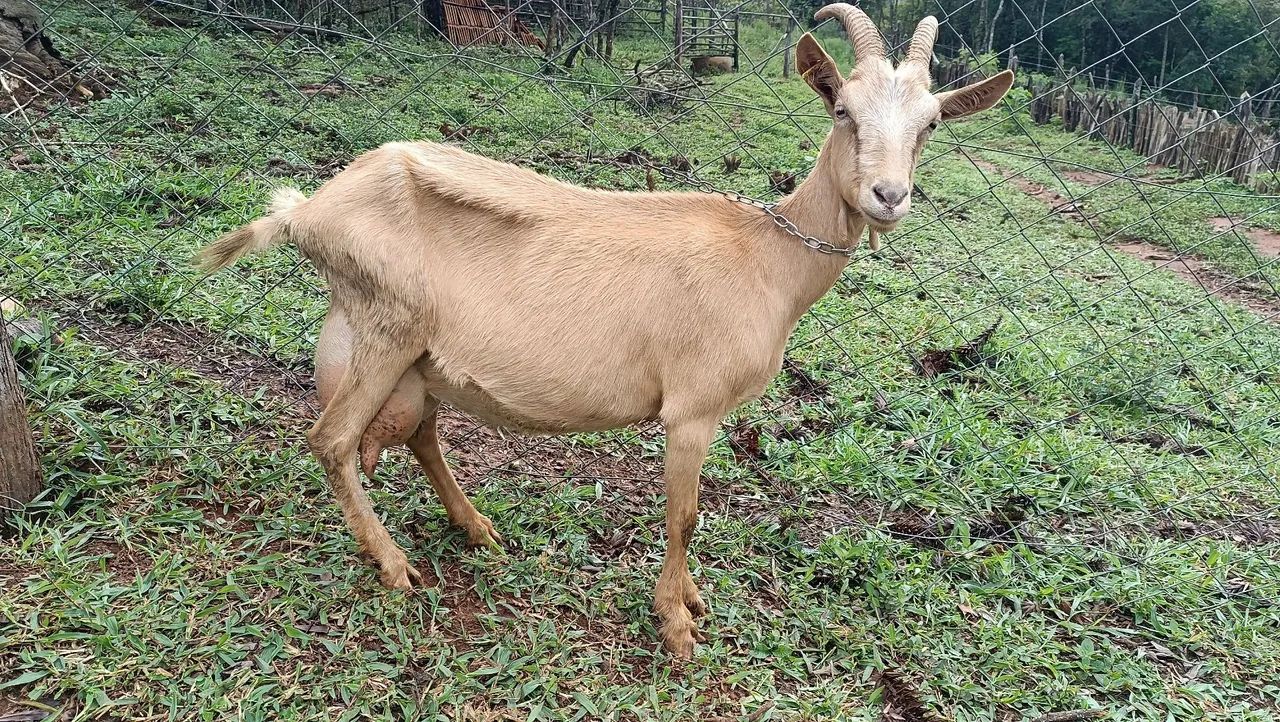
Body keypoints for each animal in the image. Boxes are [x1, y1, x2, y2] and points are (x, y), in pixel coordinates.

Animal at [198, 4, 1013, 658]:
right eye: (842, 108)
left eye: (931, 124)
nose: (888, 195)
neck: (769, 256)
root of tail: (307, 211)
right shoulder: (692, 409)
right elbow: (684, 515)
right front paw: (678, 624)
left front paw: (688, 603)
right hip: (384, 329)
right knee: (332, 440)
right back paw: (395, 565)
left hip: (414, 355)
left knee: (418, 433)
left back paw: (477, 529)